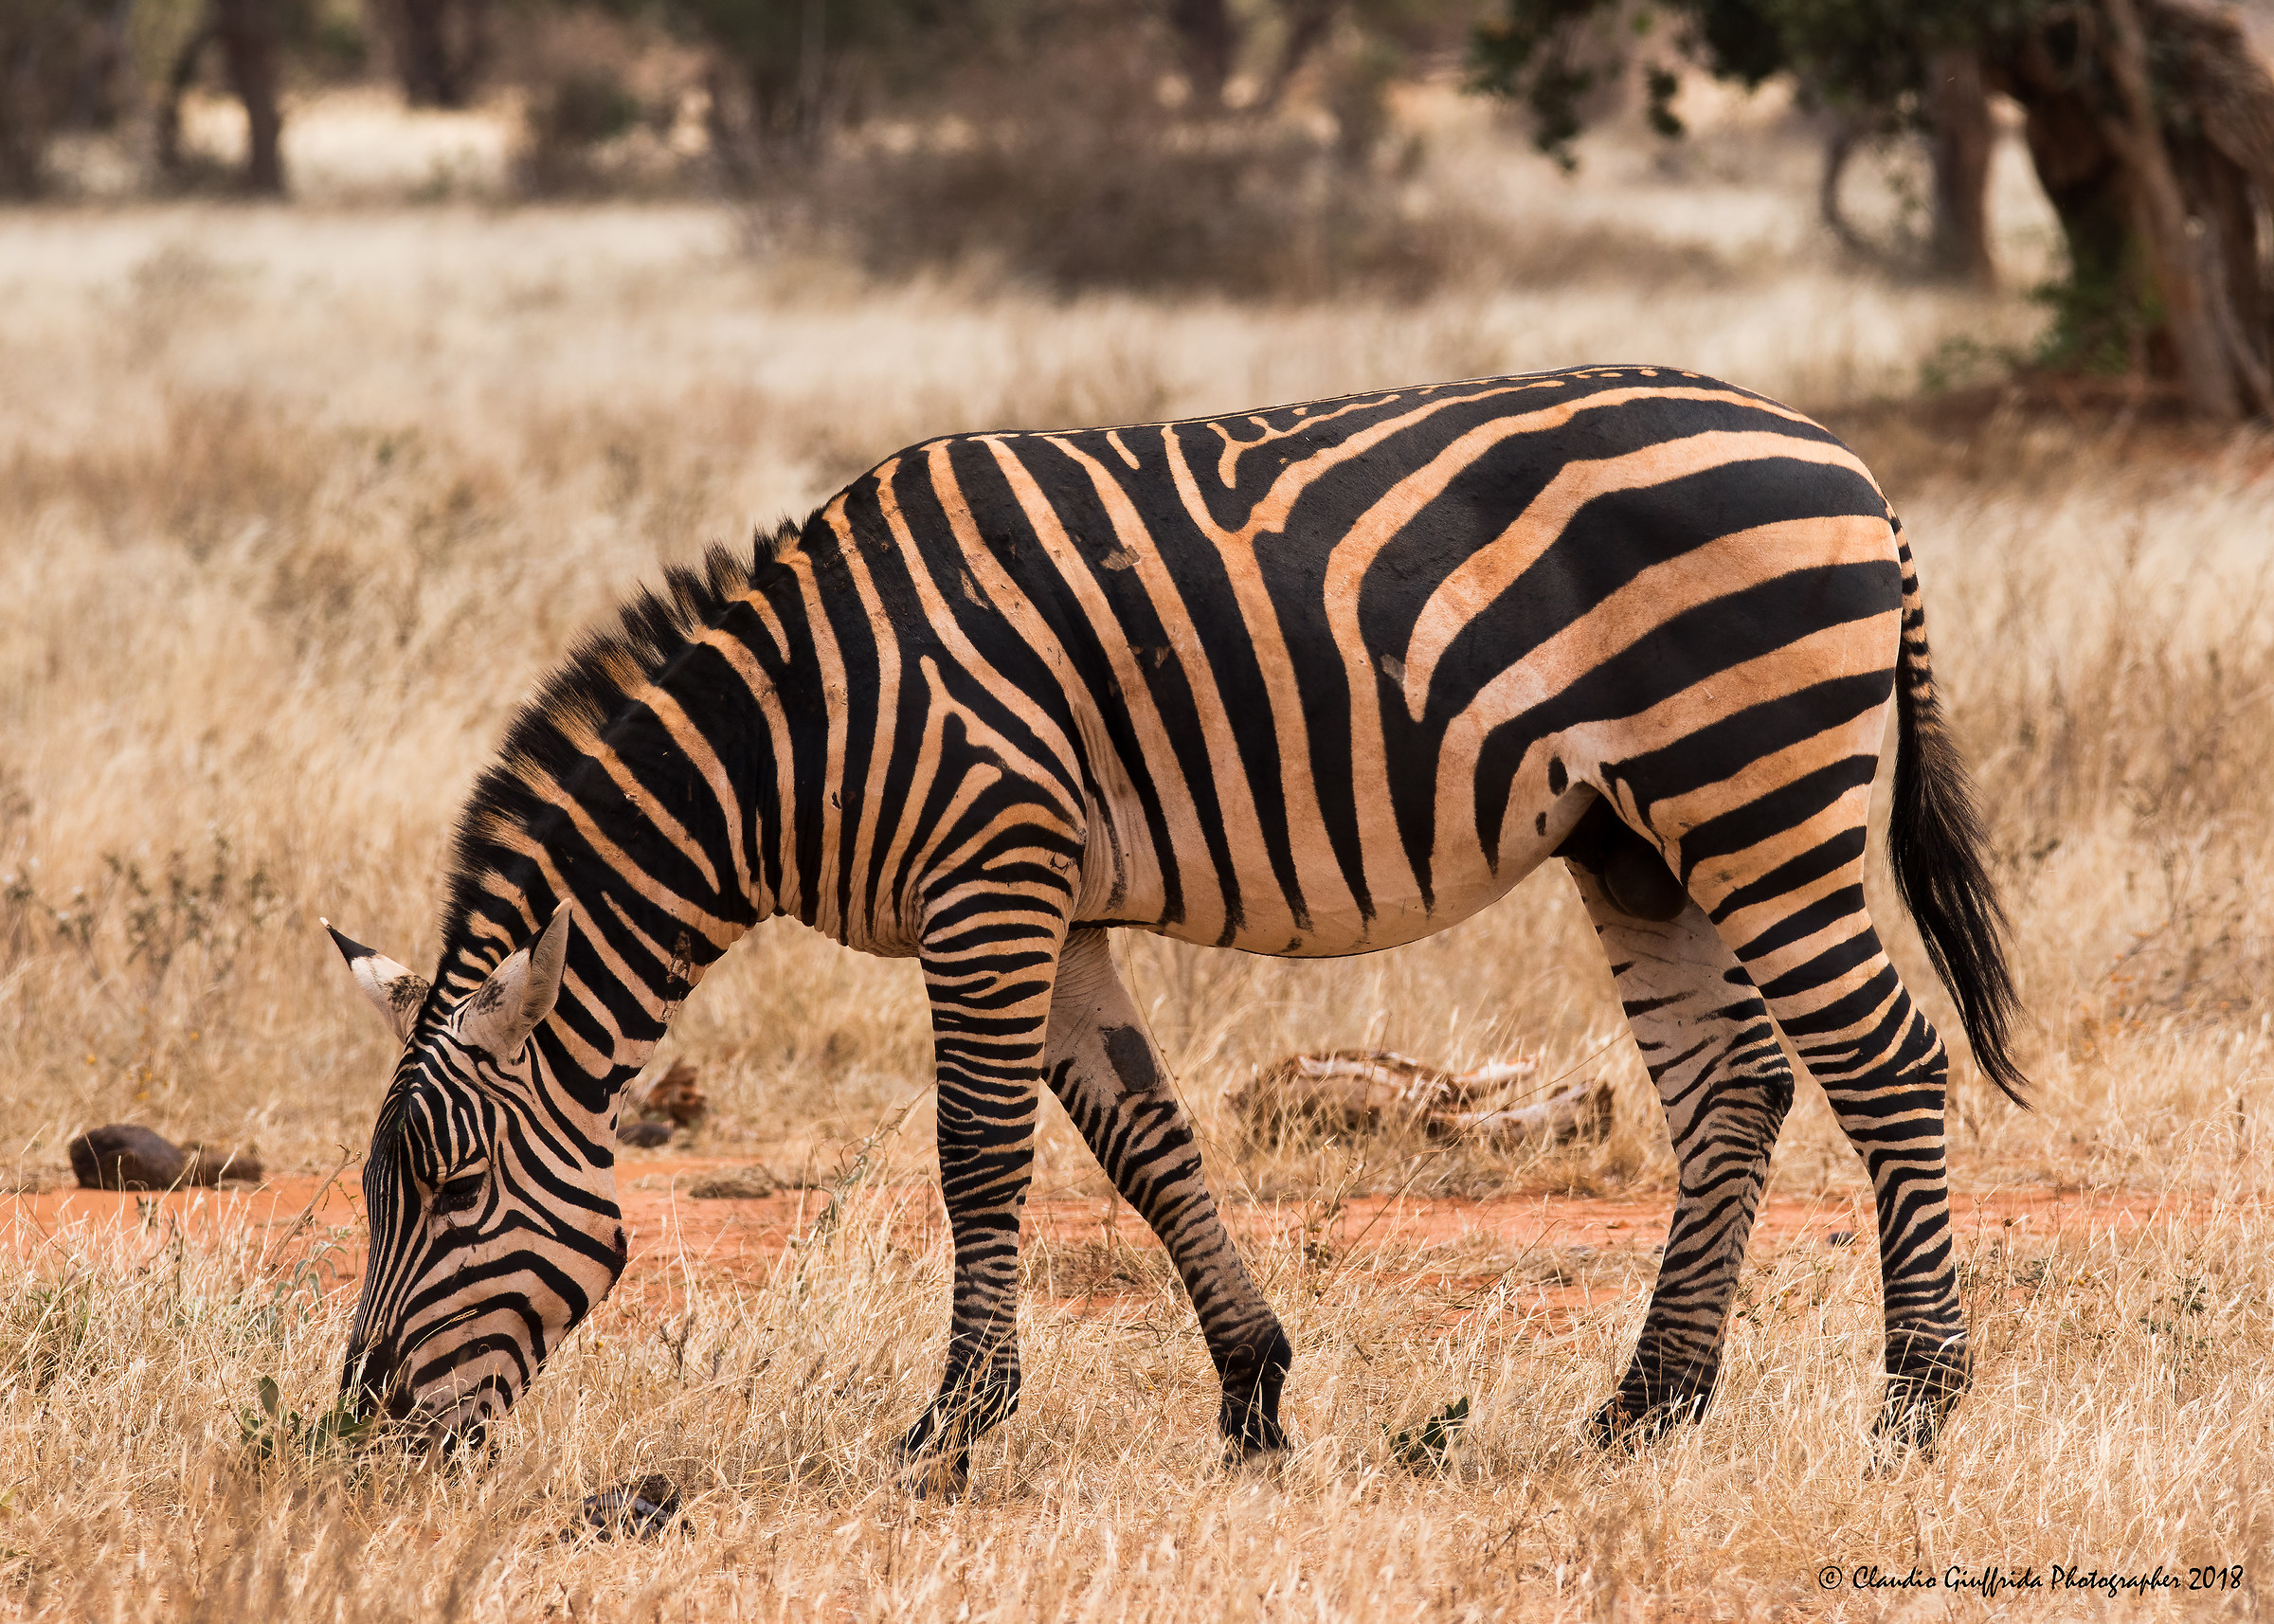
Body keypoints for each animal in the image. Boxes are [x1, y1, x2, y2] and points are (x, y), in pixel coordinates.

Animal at [327, 365, 2023, 1486]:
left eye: (454, 1191)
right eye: (379, 1192)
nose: (356, 1433)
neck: (794, 732)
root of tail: (1844, 462)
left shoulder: (989, 873)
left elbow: (981, 1154)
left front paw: (951, 1427)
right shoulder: (1050, 903)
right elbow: (1144, 1140)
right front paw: (1253, 1394)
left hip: (1756, 784)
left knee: (1890, 1062)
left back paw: (1918, 1404)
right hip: (1640, 836)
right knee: (1734, 1084)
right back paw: (1650, 1404)